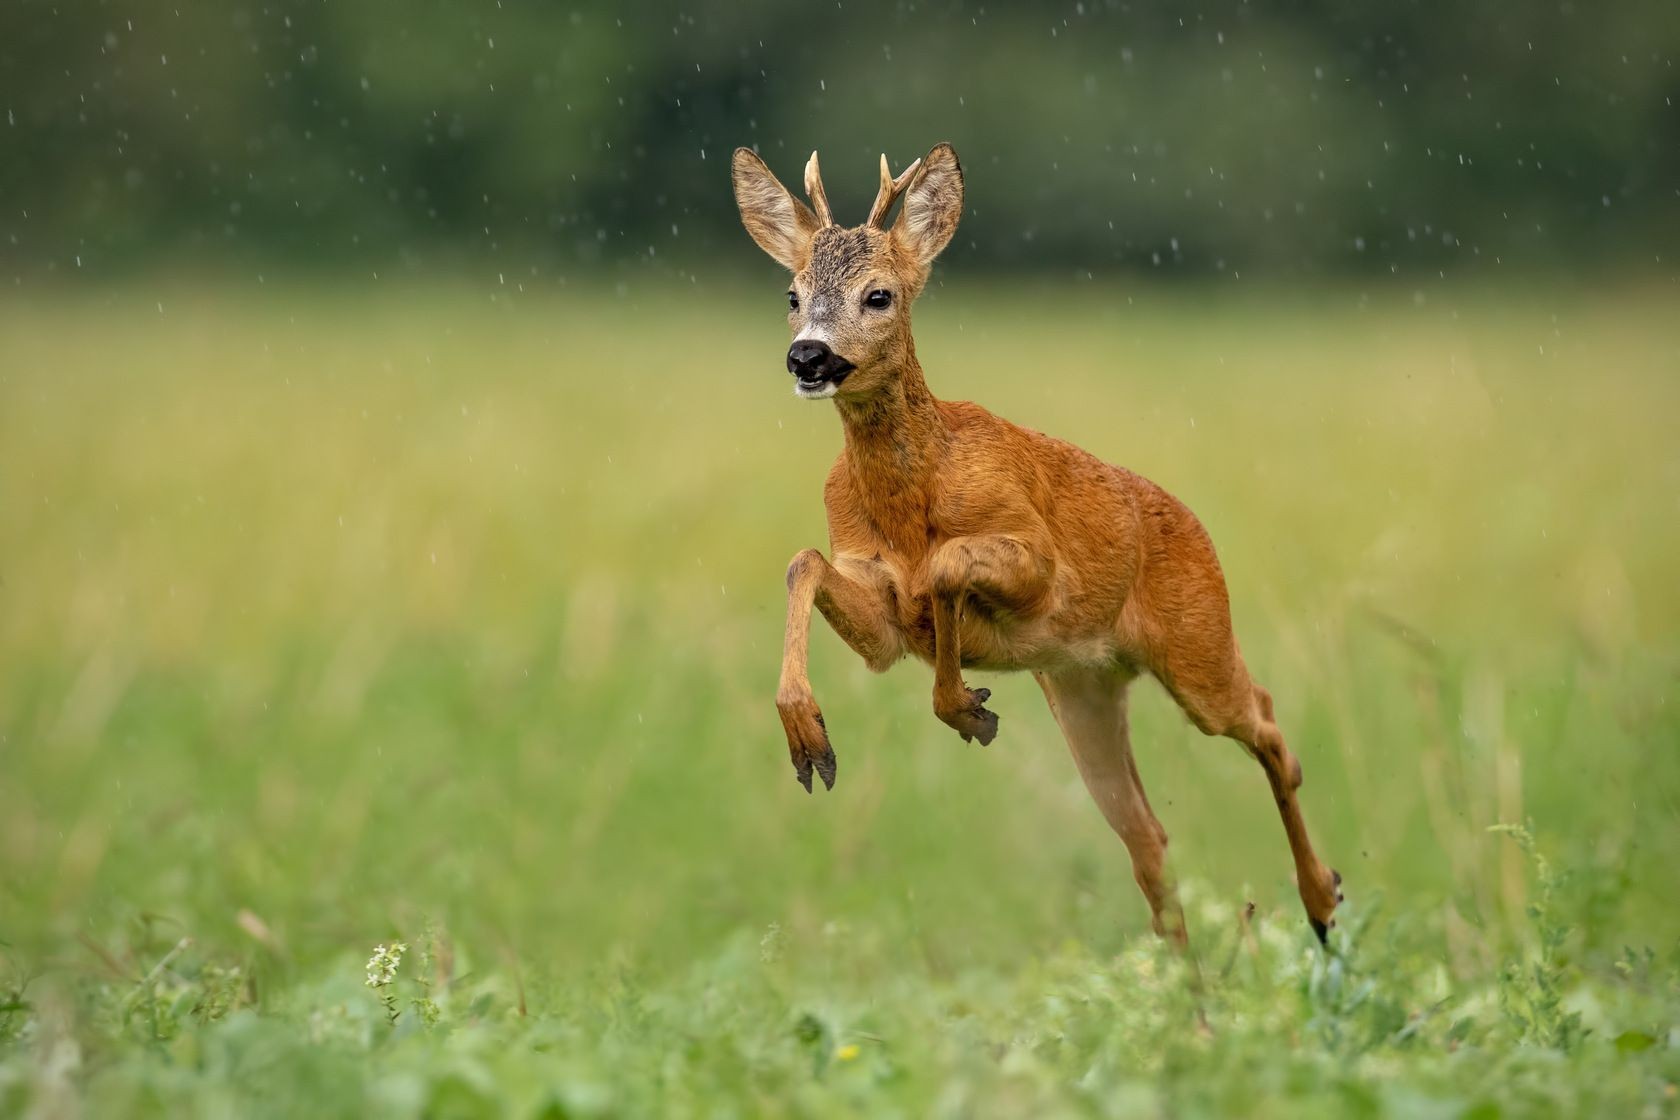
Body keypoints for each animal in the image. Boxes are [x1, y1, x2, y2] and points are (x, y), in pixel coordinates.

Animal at [730, 141, 1343, 946]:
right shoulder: (879, 610)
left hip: (1198, 646)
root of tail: (1194, 524)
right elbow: (805, 562)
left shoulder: (1040, 562)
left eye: (879, 295)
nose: (808, 357)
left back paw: (1323, 900)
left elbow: (949, 566)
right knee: (1149, 839)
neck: (911, 502)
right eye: (792, 294)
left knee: (1270, 725)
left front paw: (965, 705)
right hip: (1083, 687)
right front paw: (812, 741)